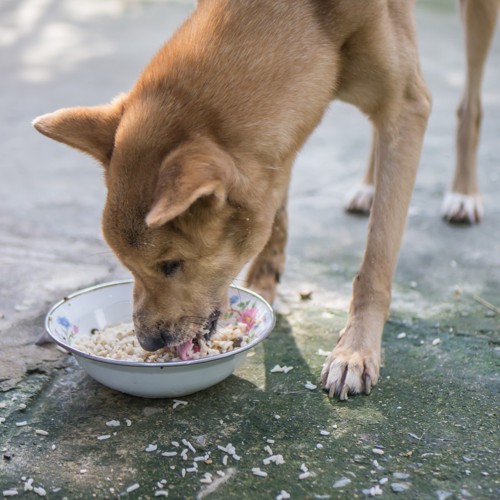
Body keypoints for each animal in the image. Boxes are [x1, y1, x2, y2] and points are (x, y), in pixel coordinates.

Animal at [32, 0, 430, 398]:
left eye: (171, 264)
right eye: (127, 265)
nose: (148, 343)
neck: (313, 19)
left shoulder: (406, 107)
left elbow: (376, 257)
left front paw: (355, 350)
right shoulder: (280, 146)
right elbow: (275, 210)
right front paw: (262, 285)